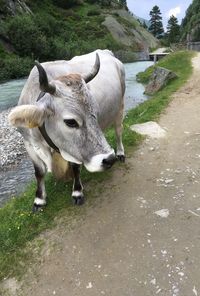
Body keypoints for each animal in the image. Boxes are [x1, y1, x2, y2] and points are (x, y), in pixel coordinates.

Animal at [9, 49, 126, 210]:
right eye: (70, 122)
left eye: (95, 113)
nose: (109, 159)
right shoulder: (29, 143)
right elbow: (39, 171)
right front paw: (39, 199)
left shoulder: (73, 148)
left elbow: (75, 167)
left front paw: (77, 192)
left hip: (120, 107)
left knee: (119, 131)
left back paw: (120, 153)